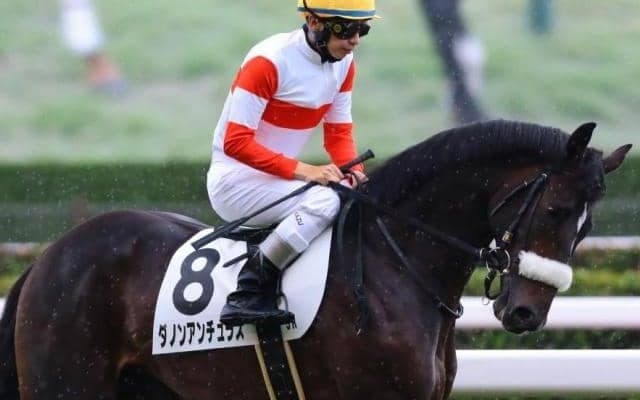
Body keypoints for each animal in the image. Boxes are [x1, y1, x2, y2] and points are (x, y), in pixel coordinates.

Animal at [0, 119, 631, 399]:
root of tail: (50, 257)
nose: (526, 314)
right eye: (556, 210)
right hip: (68, 385)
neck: (395, 267)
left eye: (588, 227)